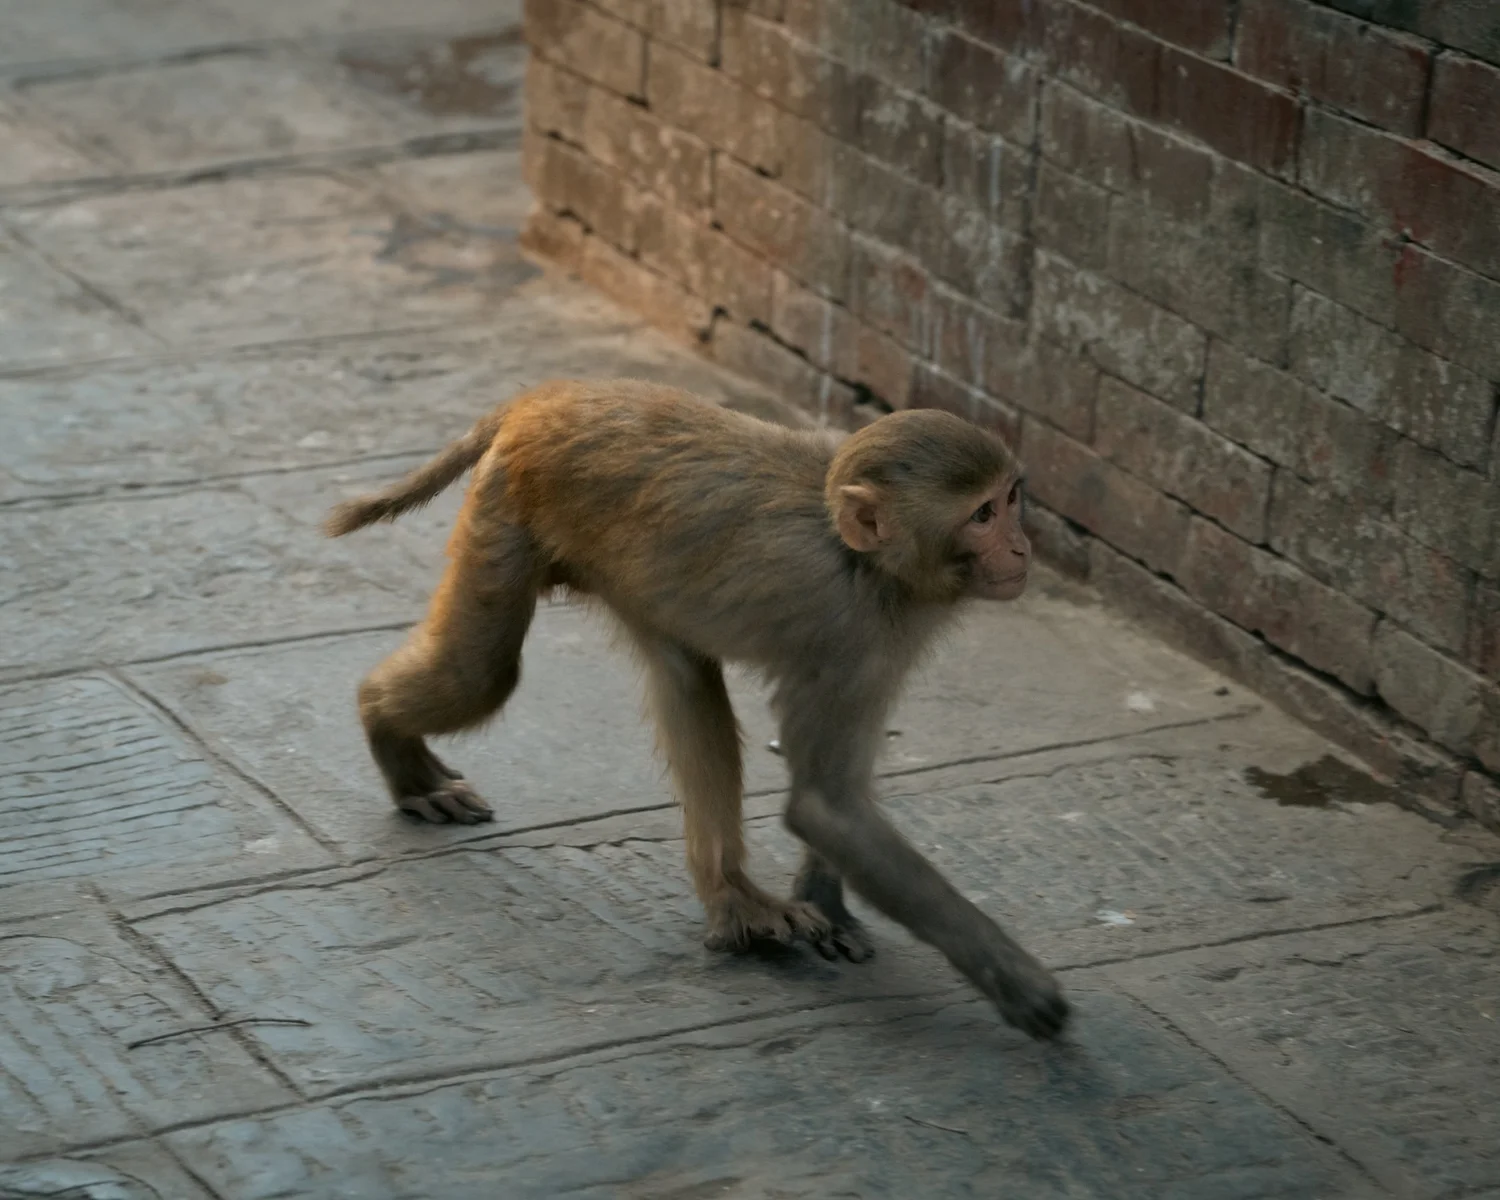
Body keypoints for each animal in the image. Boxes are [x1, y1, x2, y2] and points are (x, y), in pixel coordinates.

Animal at [324, 379, 1069, 1041]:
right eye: (981, 515)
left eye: (1011, 498)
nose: (1022, 546)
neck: (866, 562)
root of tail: (545, 395)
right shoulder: (848, 637)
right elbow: (827, 807)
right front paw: (1017, 982)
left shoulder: (886, 639)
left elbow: (837, 800)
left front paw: (825, 902)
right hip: (508, 506)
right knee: (482, 673)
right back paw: (388, 737)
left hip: (617, 565)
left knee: (685, 677)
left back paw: (731, 899)